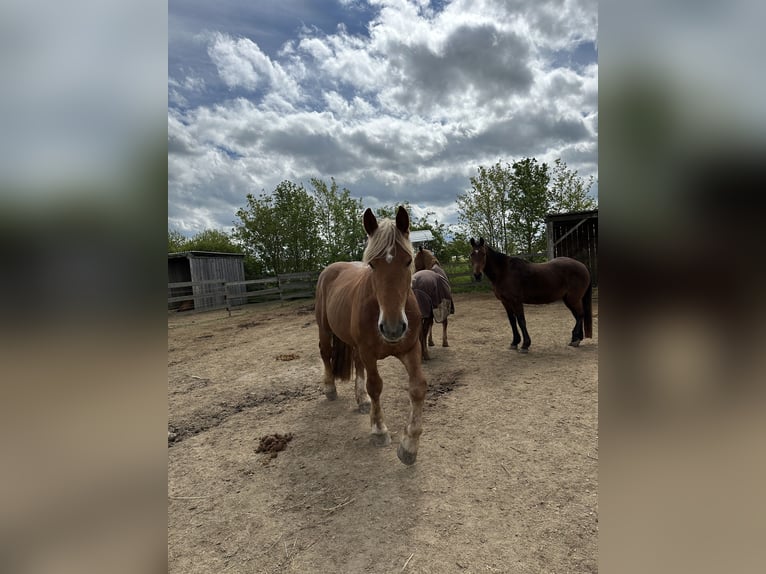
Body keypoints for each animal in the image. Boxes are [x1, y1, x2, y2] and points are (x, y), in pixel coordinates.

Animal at [316, 208, 428, 468]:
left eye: (408, 261)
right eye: (372, 265)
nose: (392, 328)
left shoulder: (411, 349)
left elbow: (418, 388)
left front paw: (409, 446)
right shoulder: (369, 352)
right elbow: (375, 385)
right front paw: (379, 430)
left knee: (357, 365)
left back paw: (362, 400)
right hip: (325, 330)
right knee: (326, 353)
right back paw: (330, 389)